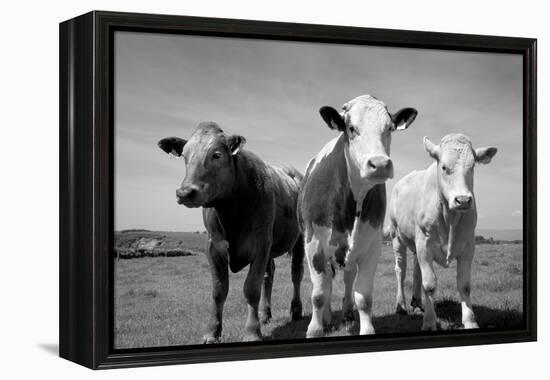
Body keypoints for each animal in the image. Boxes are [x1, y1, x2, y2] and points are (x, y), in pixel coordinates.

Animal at [160, 123, 306, 342]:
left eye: (217, 155)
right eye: (185, 155)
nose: (185, 193)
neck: (231, 211)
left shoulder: (261, 243)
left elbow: (251, 288)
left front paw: (252, 332)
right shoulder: (214, 246)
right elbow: (219, 290)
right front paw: (212, 331)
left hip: (299, 239)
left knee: (296, 274)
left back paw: (296, 310)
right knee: (269, 275)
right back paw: (265, 314)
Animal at [300, 94, 420, 336]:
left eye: (389, 128)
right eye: (351, 128)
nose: (380, 164)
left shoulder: (371, 245)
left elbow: (363, 296)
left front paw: (366, 329)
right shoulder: (313, 244)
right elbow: (318, 295)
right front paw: (315, 330)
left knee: (347, 279)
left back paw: (346, 315)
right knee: (327, 284)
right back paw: (327, 318)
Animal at [388, 134, 500, 330]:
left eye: (472, 167)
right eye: (444, 167)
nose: (463, 200)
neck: (450, 219)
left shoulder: (468, 246)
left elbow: (464, 285)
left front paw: (470, 321)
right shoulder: (424, 244)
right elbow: (430, 285)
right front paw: (429, 322)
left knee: (416, 270)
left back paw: (417, 303)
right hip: (397, 237)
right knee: (400, 270)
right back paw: (401, 306)